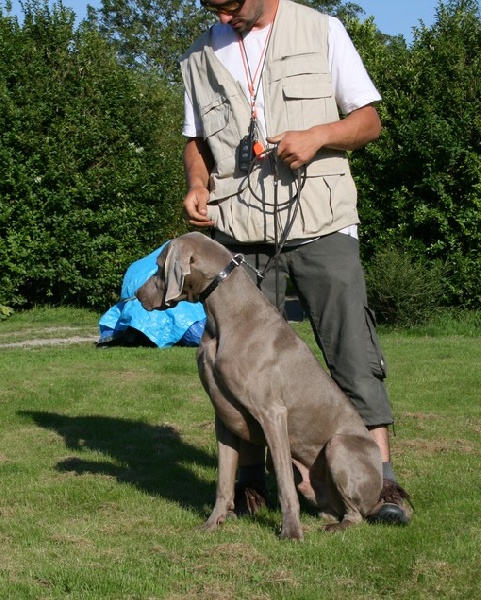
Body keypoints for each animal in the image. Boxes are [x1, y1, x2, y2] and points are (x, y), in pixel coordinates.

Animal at [136, 231, 382, 540]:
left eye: (158, 266)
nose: (137, 295)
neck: (227, 314)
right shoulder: (223, 417)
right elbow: (224, 479)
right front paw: (213, 522)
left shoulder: (272, 413)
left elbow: (285, 486)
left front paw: (291, 532)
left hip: (340, 446)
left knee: (356, 513)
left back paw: (338, 524)